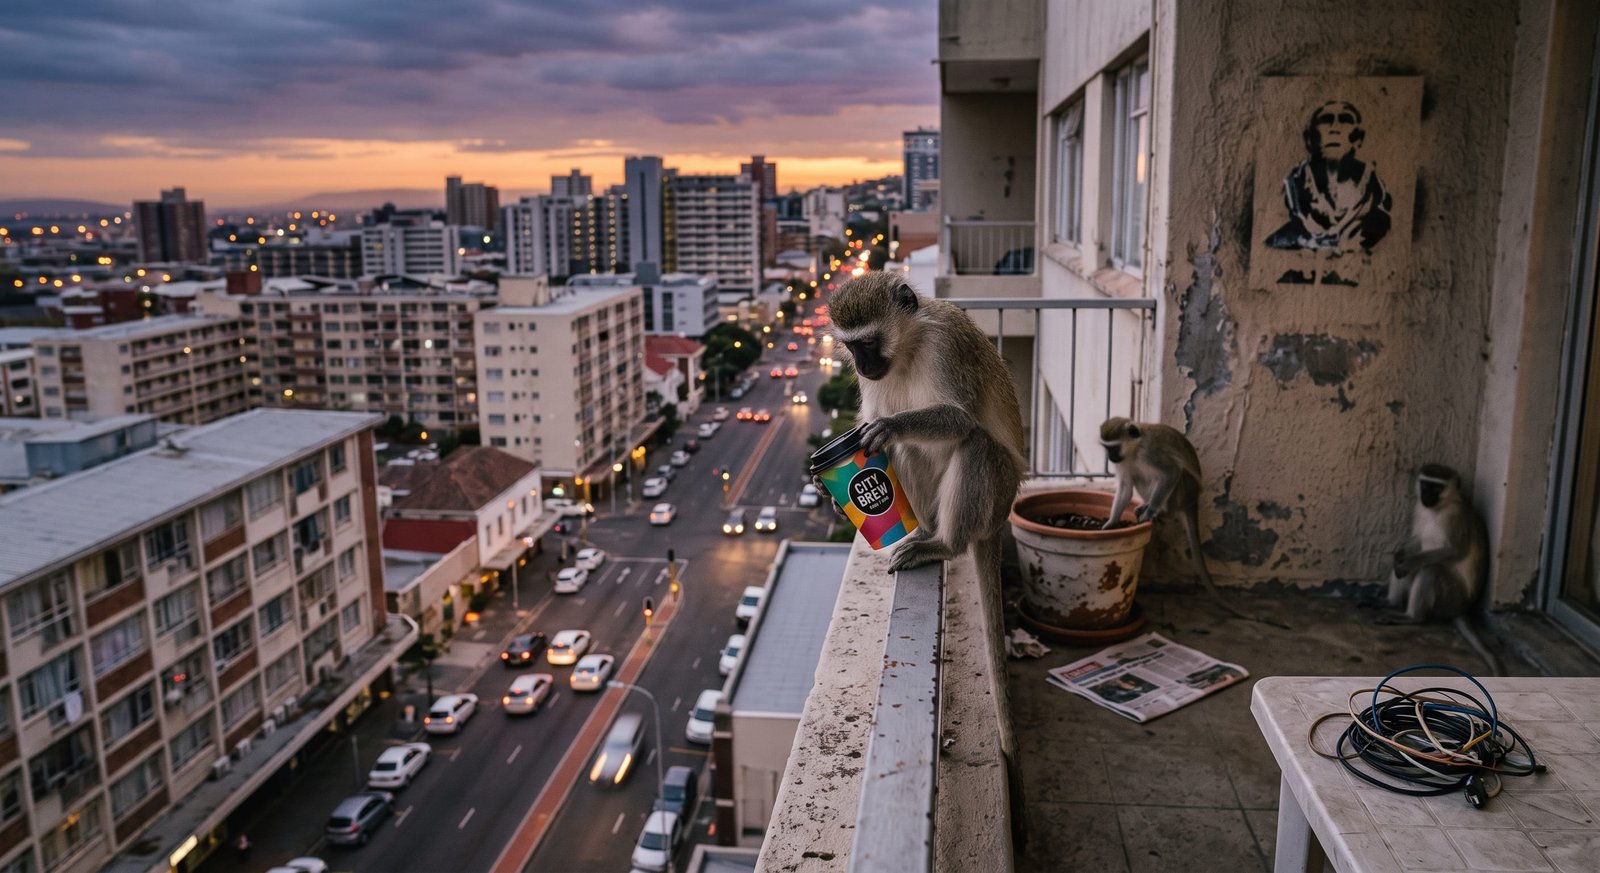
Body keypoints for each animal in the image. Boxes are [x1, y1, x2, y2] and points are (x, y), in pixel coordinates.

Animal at [1099, 417, 1289, 629]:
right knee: (1139, 477)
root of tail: (1193, 501)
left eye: (1113, 448)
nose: (1110, 458)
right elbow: (1125, 488)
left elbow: (1171, 472)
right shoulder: (1125, 463)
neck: (1134, 449)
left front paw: (1150, 511)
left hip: (1185, 491)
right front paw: (1111, 523)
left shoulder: (1151, 453)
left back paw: (1160, 510)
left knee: (1176, 475)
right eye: (1106, 448)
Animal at [1377, 464, 1503, 675]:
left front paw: (1407, 563)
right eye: (1425, 485)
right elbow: (1416, 540)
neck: (1438, 509)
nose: (1426, 496)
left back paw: (1412, 617)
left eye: (1437, 488)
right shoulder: (1419, 509)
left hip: (1451, 599)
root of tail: (1463, 607)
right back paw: (1392, 602)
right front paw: (1398, 556)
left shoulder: (1455, 518)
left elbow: (1452, 551)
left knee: (1431, 569)